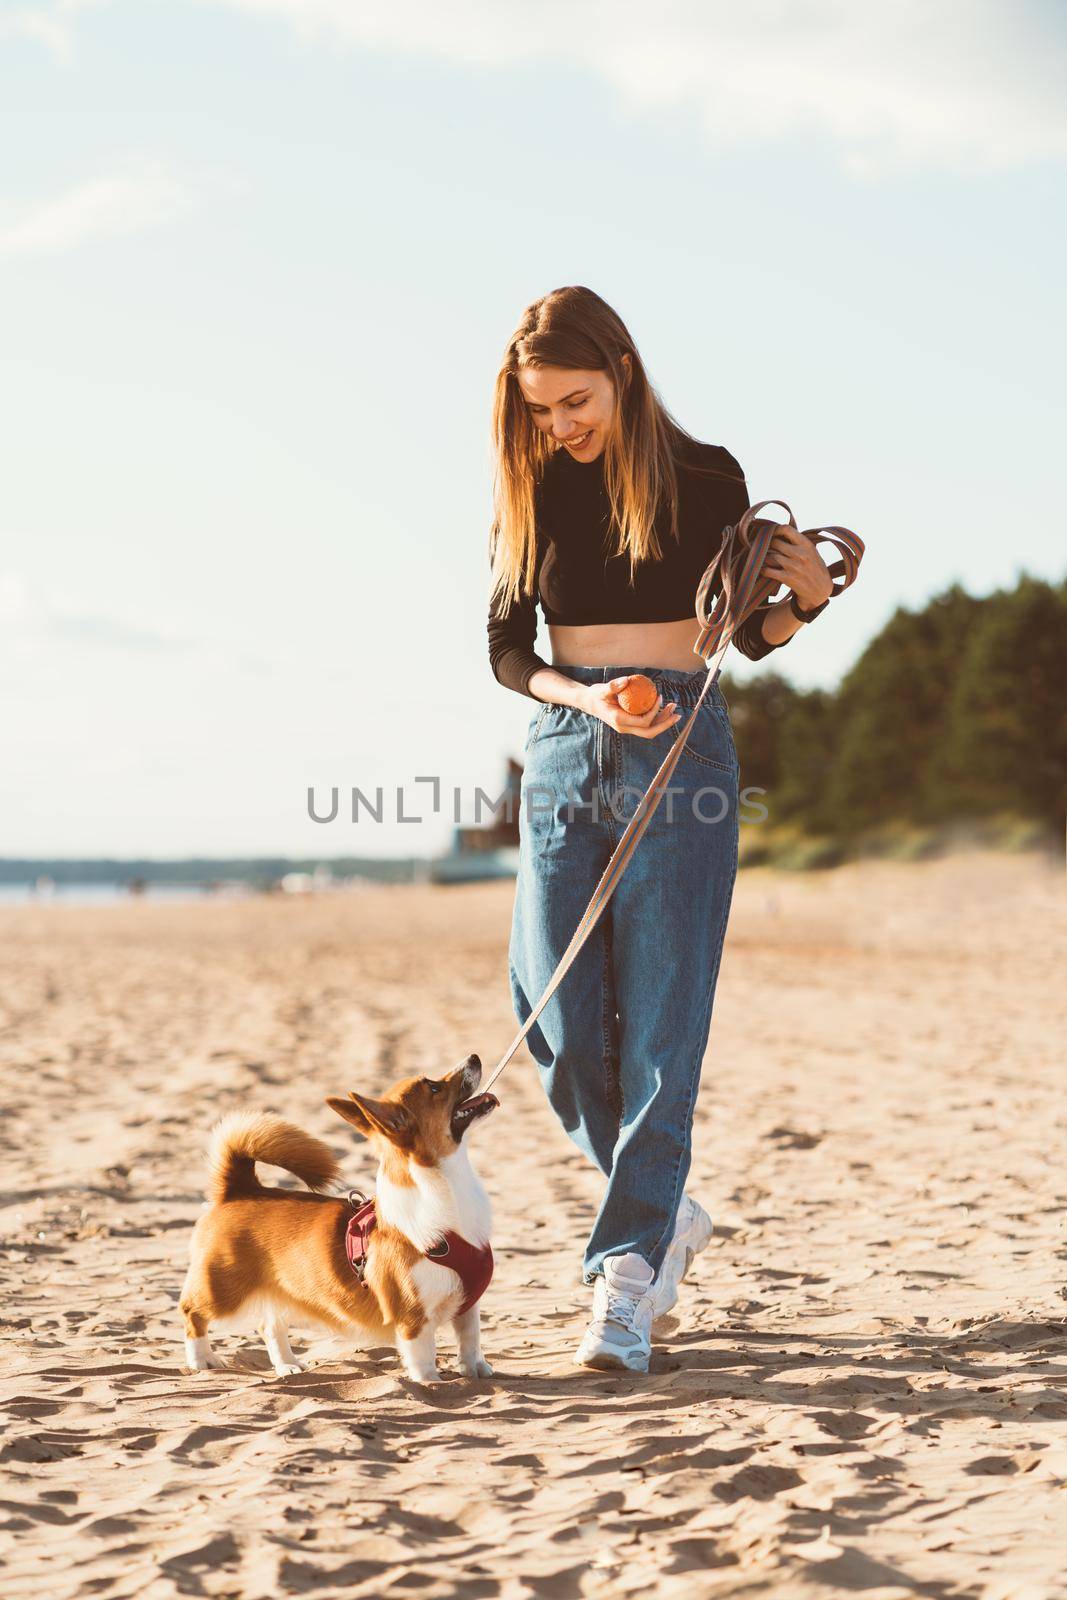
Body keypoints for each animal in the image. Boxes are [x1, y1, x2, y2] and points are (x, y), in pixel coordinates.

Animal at [181, 1056, 499, 1382]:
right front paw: (431, 1384)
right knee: (192, 1312)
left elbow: (470, 1339)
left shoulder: (468, 1305)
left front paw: (476, 1371)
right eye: (434, 1087)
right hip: (222, 1291)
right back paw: (202, 1359)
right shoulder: (413, 1318)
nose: (474, 1057)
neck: (446, 1186)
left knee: (269, 1325)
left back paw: (287, 1365)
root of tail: (240, 1189)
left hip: (280, 1292)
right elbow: (423, 1358)